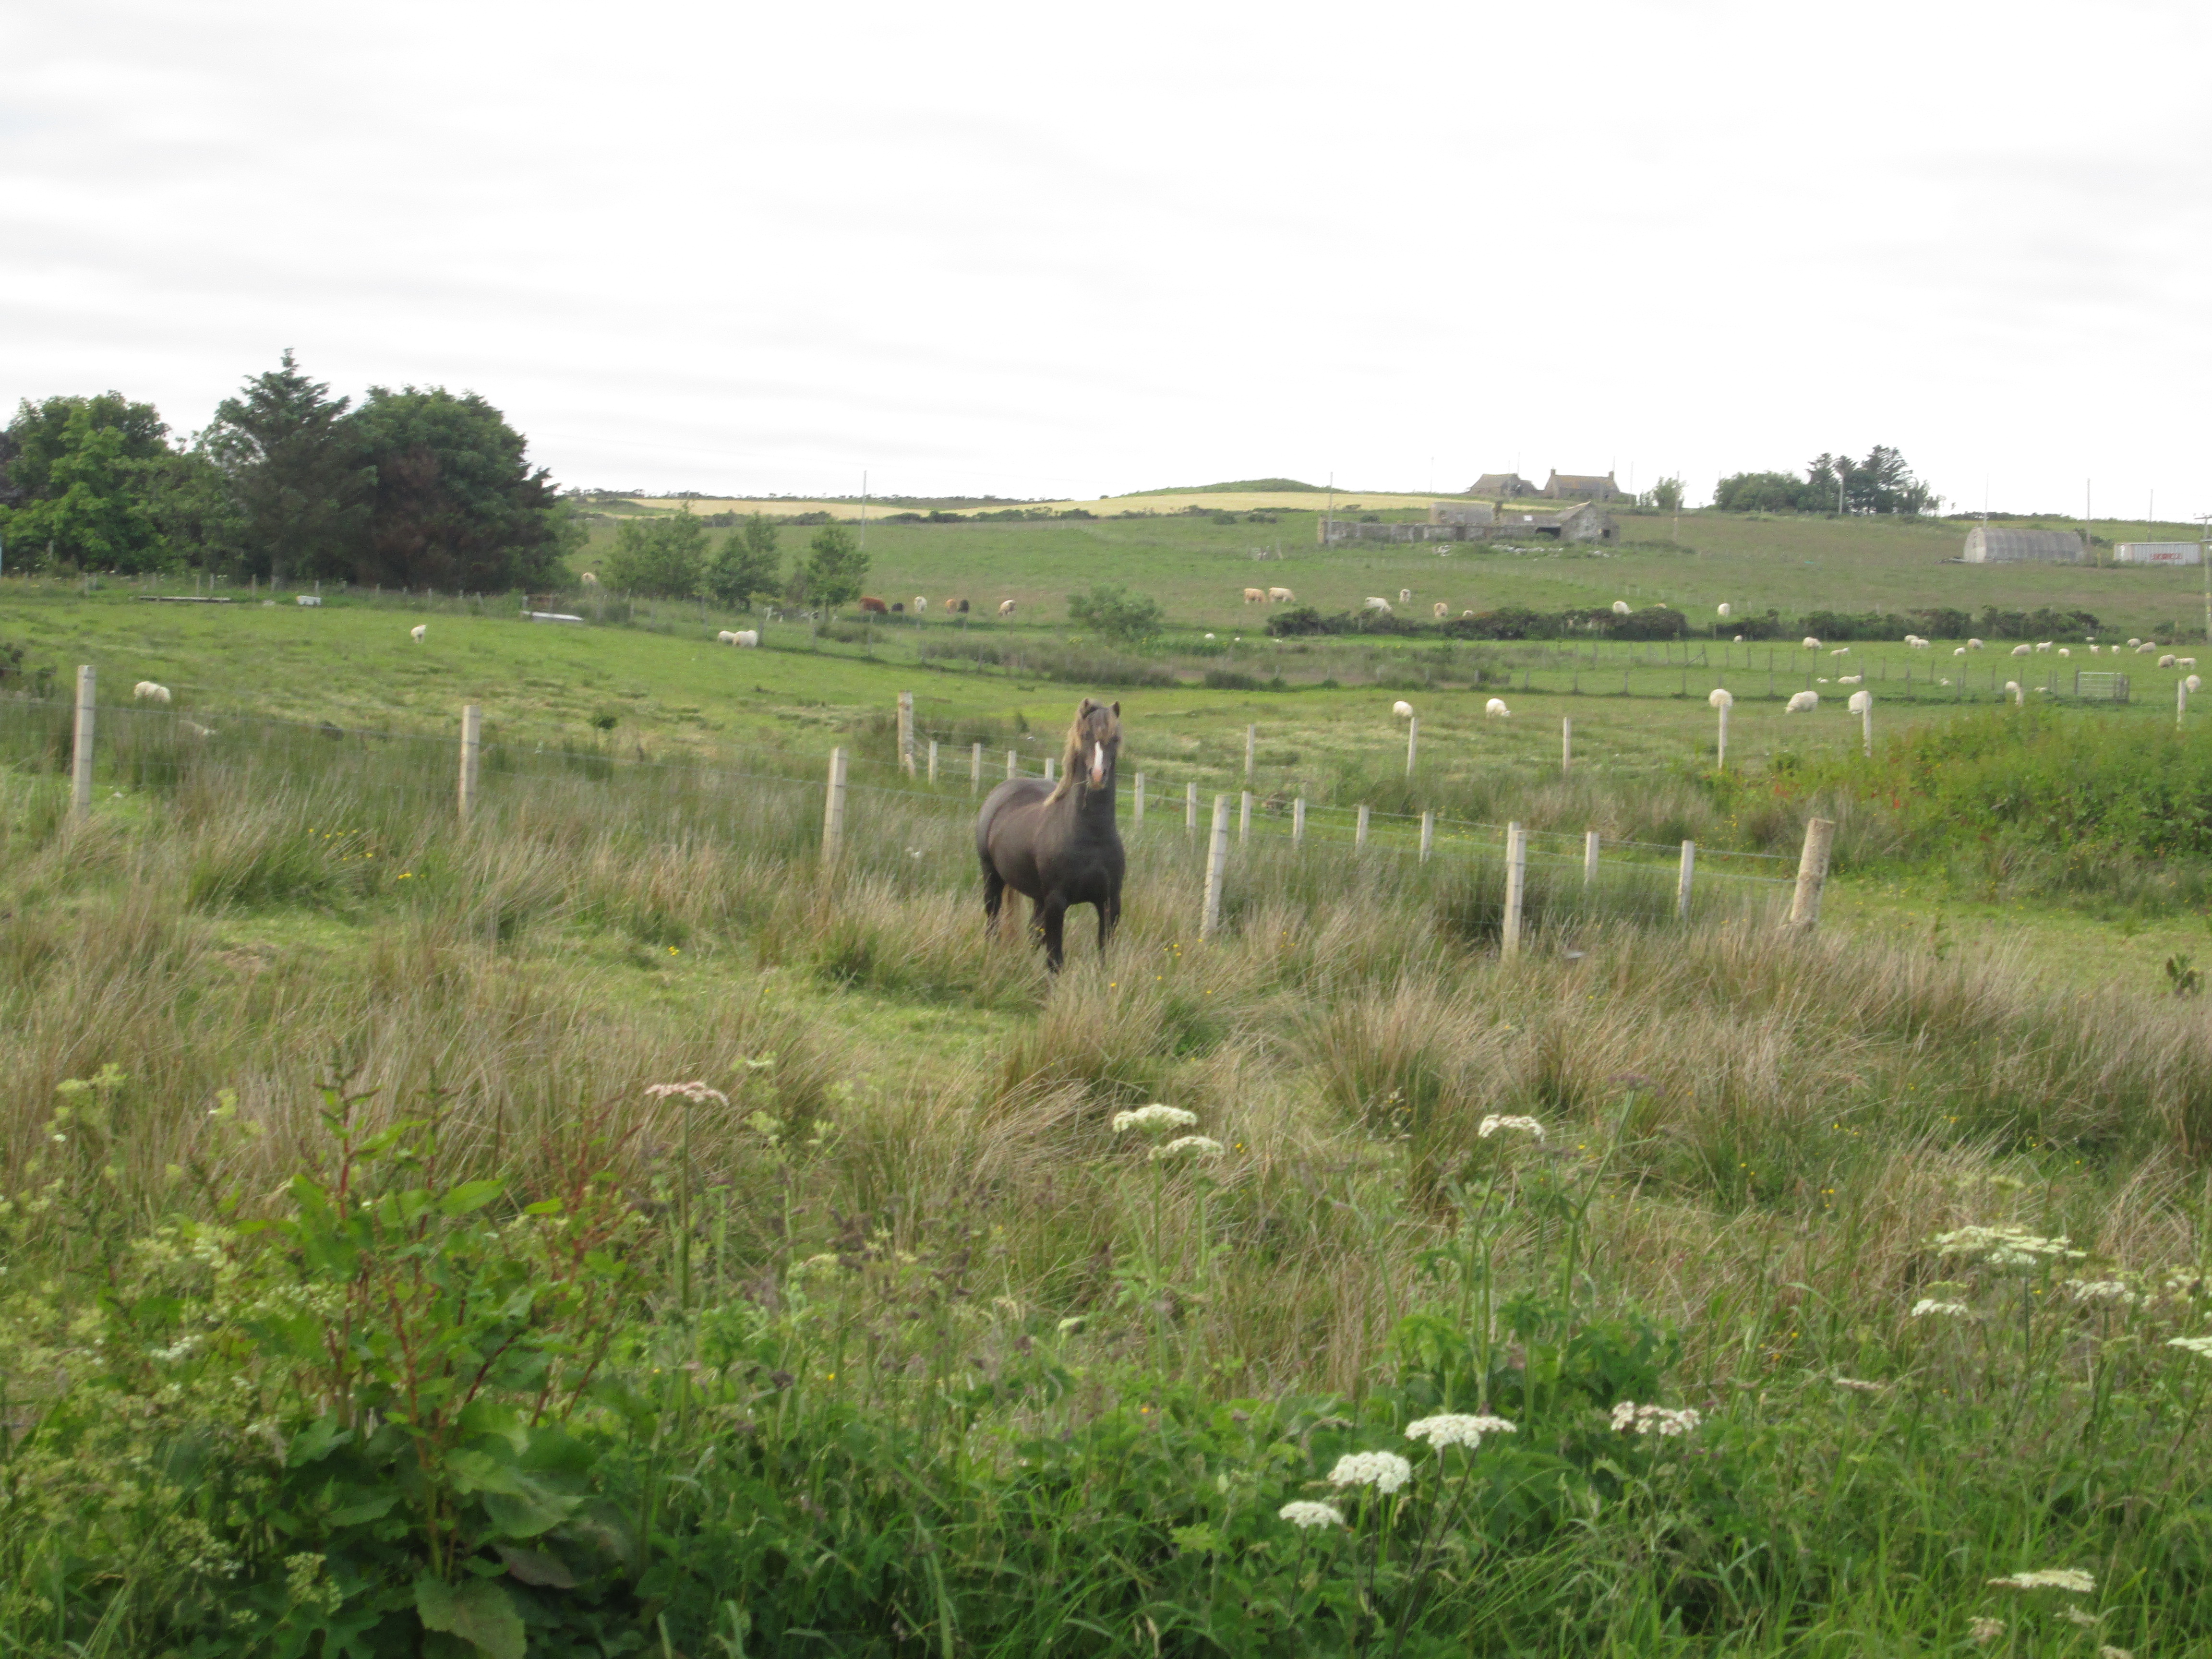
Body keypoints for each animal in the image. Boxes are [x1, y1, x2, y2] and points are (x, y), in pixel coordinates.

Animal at [975, 698, 1124, 971]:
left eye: (1115, 738)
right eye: (1085, 735)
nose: (1098, 776)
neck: (1092, 838)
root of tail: (1001, 792)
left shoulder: (1110, 904)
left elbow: (1104, 957)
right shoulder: (1057, 903)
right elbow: (1055, 960)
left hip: (1037, 897)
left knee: (1033, 932)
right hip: (992, 877)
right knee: (992, 922)